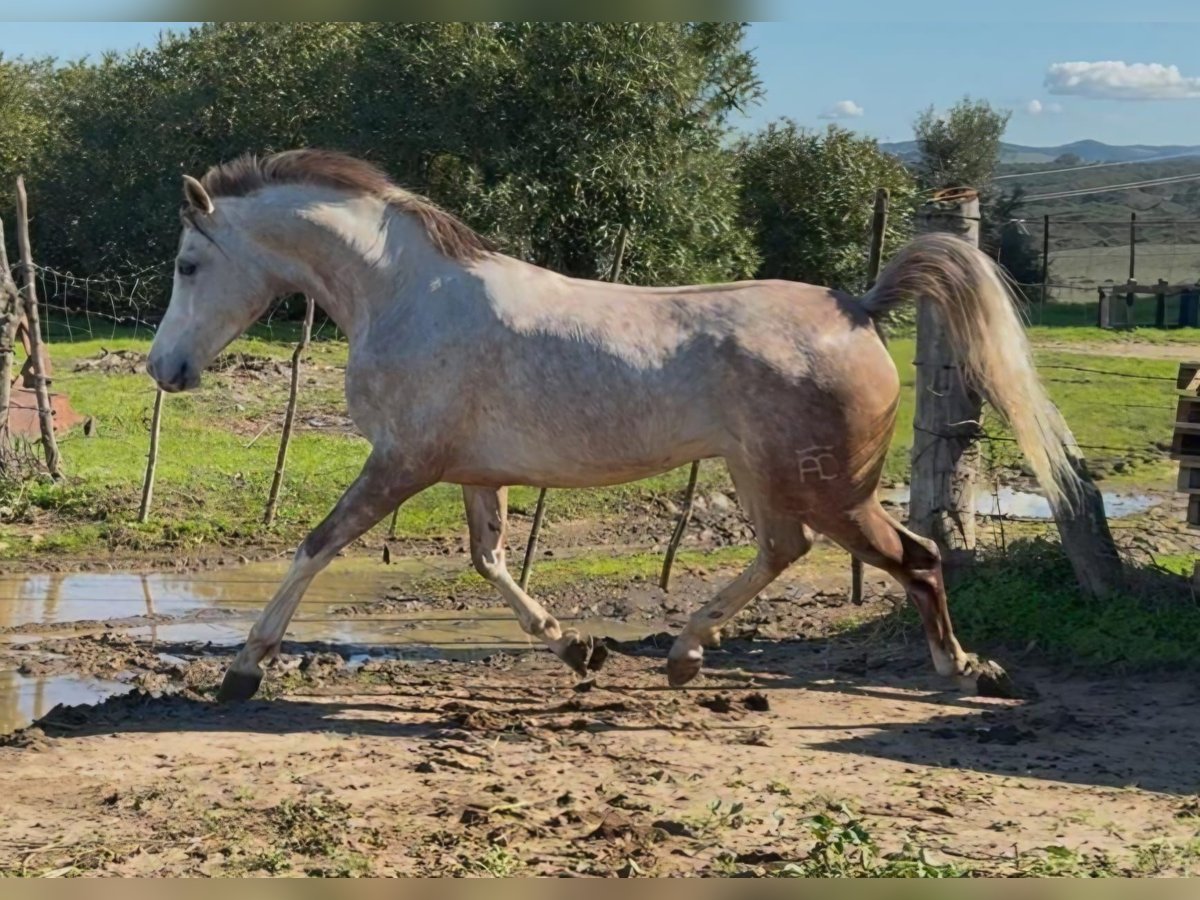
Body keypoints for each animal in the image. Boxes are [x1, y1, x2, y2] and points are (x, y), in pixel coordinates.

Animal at [146, 149, 1077, 703]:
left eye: (189, 264)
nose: (164, 369)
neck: (406, 295)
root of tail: (859, 307)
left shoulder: (402, 463)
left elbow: (316, 546)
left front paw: (242, 671)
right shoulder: (474, 473)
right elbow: (490, 564)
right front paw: (579, 650)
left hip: (827, 487)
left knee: (914, 558)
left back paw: (962, 669)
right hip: (765, 477)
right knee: (785, 551)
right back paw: (684, 655)